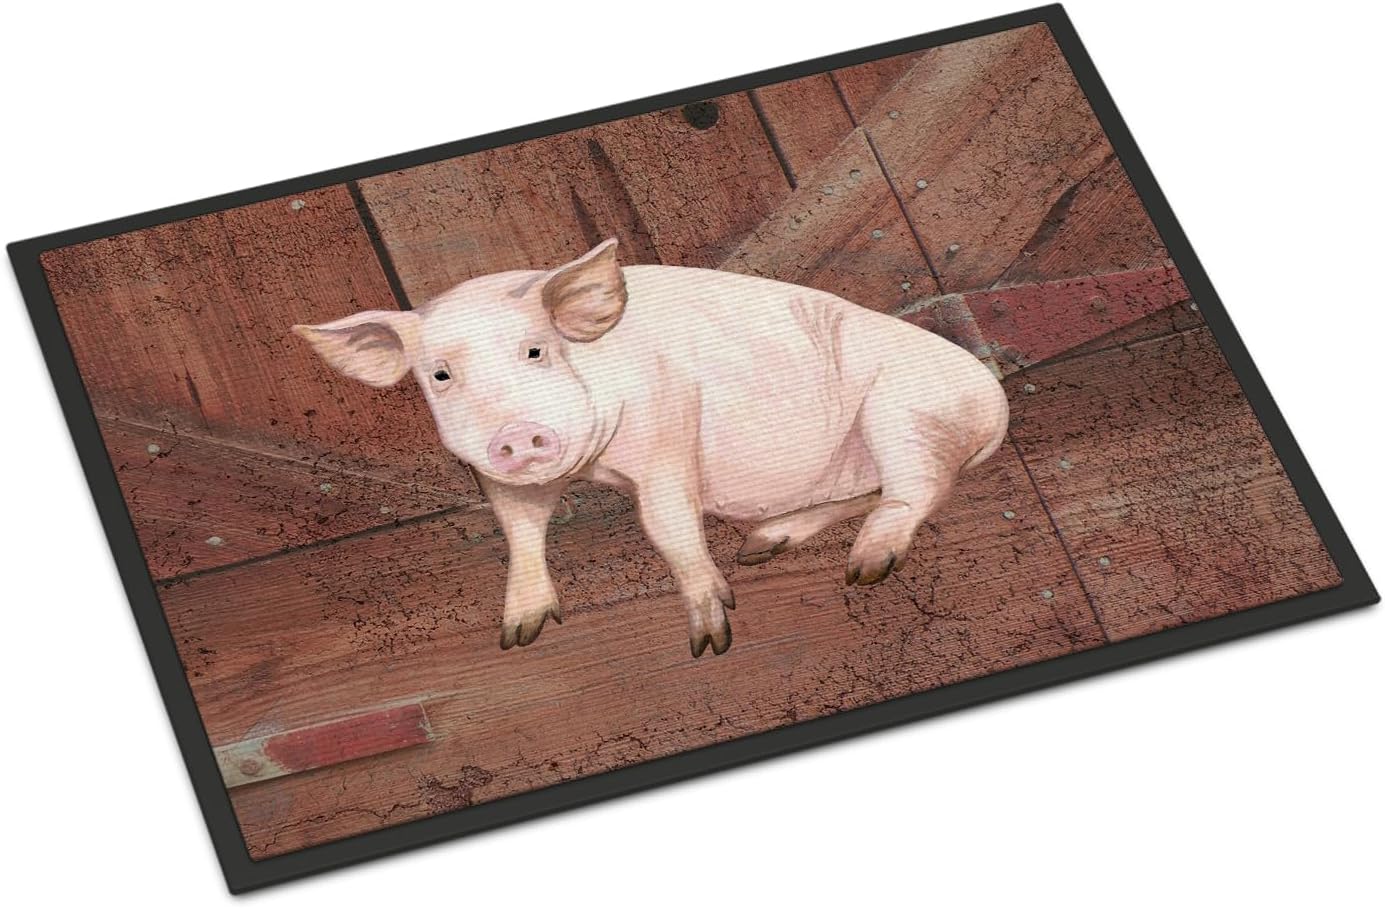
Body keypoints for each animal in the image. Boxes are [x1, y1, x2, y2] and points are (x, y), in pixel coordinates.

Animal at [294, 239, 1008, 657]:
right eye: (440, 375)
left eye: (536, 350)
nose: (515, 433)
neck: (595, 469)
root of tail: (994, 399)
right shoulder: (498, 477)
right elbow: (519, 531)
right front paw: (518, 636)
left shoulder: (669, 432)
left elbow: (667, 527)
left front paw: (712, 641)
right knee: (875, 492)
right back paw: (763, 545)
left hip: (907, 412)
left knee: (919, 490)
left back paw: (863, 569)